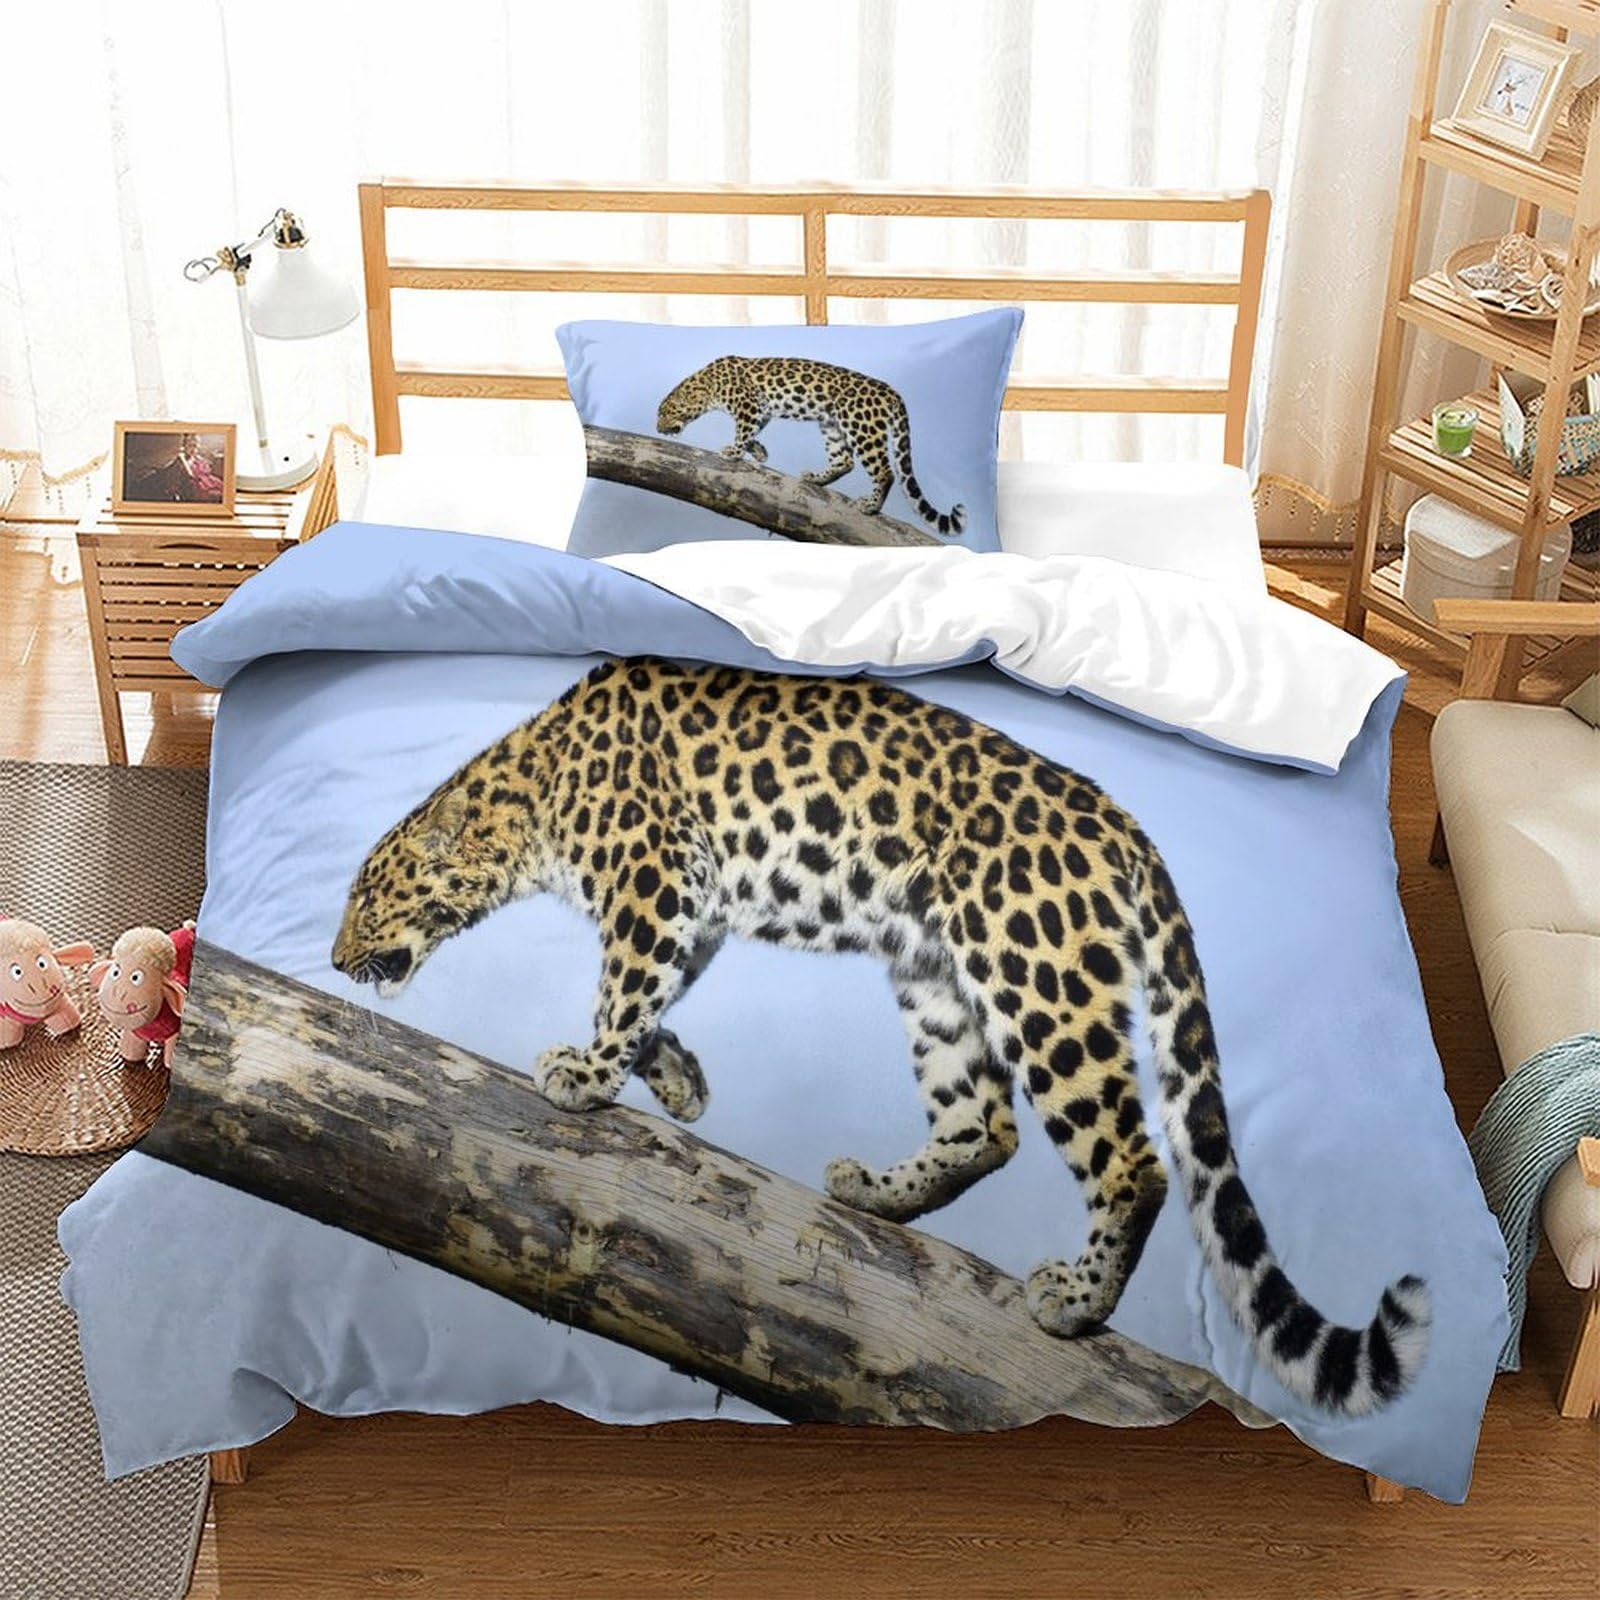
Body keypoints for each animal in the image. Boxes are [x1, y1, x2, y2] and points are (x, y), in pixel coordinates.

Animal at [332, 657, 1430, 1415]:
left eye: (366, 895)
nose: (334, 956)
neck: (528, 797)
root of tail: (1127, 825)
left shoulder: (653, 876)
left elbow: (625, 985)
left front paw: (587, 1072)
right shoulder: (695, 904)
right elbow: (655, 995)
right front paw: (676, 1081)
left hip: (1035, 975)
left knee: (1131, 1155)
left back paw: (1078, 1300)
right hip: (934, 974)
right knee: (984, 1123)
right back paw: (880, 1195)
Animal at [655, 355, 965, 535]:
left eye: (665, 413)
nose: (657, 428)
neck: (706, 386)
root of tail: (891, 391)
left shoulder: (748, 404)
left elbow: (743, 430)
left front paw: (733, 452)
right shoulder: (761, 411)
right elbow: (753, 432)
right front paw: (759, 452)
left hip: (861, 426)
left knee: (884, 471)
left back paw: (870, 506)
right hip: (832, 425)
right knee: (844, 461)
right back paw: (816, 479)